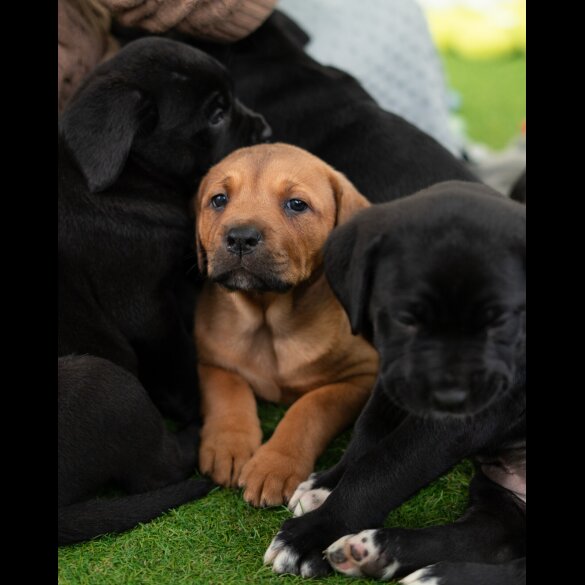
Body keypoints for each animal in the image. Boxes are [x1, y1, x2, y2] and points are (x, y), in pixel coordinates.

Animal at [59, 37, 270, 420]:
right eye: (216, 115)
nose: (266, 130)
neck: (132, 179)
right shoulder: (145, 308)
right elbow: (175, 355)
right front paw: (192, 405)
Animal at [195, 143, 378, 506]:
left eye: (296, 204)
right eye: (219, 199)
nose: (240, 237)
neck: (267, 321)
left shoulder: (362, 375)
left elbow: (311, 407)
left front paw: (274, 465)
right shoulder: (208, 359)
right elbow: (226, 388)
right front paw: (228, 444)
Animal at [264, 180, 524, 580]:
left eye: (499, 320)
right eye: (405, 318)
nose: (451, 396)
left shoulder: (459, 421)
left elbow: (387, 466)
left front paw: (313, 533)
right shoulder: (389, 374)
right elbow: (367, 436)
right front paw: (325, 487)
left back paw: (435, 576)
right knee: (489, 537)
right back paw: (378, 553)